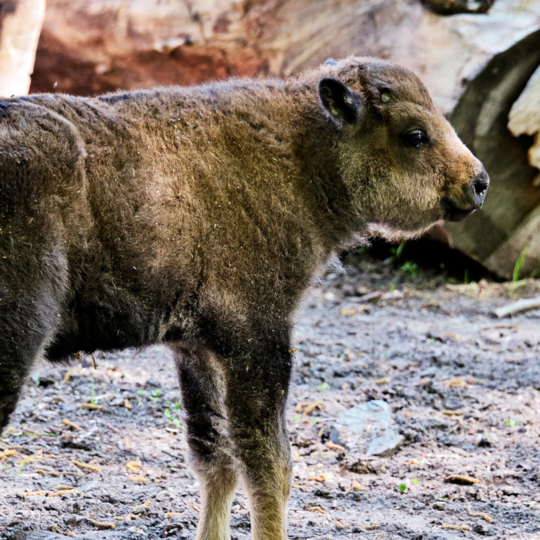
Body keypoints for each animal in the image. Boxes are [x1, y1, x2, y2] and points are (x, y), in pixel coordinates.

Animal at [0, 58, 488, 540]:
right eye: (414, 134)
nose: (479, 182)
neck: (303, 155)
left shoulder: (197, 347)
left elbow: (216, 457)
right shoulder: (257, 338)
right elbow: (268, 463)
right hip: (21, 332)